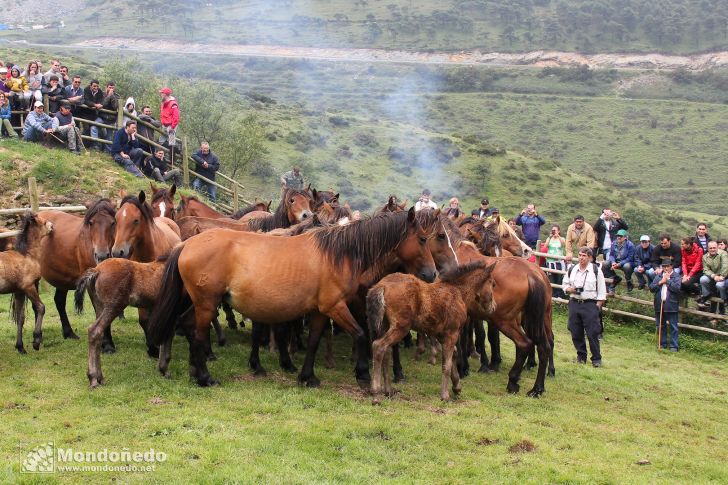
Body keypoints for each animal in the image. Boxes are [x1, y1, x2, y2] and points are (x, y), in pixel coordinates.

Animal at [0, 212, 53, 352]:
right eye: (43, 222)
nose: (52, 226)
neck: (28, 255)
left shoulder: (19, 292)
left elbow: (20, 318)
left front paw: (20, 347)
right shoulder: (28, 287)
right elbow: (41, 307)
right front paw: (36, 340)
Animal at [40, 197, 117, 340]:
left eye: (113, 223)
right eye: (91, 223)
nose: (101, 255)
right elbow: (100, 311)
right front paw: (106, 342)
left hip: (62, 278)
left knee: (59, 301)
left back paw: (69, 333)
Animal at [145, 207, 436, 386]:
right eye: (423, 239)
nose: (432, 274)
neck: (337, 253)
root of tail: (186, 244)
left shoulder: (320, 311)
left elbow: (315, 341)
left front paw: (308, 377)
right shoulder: (335, 306)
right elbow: (361, 335)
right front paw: (363, 373)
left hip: (197, 302)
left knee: (185, 324)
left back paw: (193, 370)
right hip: (207, 304)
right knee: (198, 334)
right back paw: (205, 377)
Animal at [366, 260, 498, 400]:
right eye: (493, 284)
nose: (493, 307)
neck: (458, 292)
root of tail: (382, 285)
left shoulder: (441, 334)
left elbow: (454, 355)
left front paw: (457, 387)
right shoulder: (452, 334)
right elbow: (446, 365)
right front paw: (445, 395)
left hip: (385, 325)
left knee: (386, 352)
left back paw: (388, 390)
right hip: (401, 327)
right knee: (378, 346)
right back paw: (376, 393)